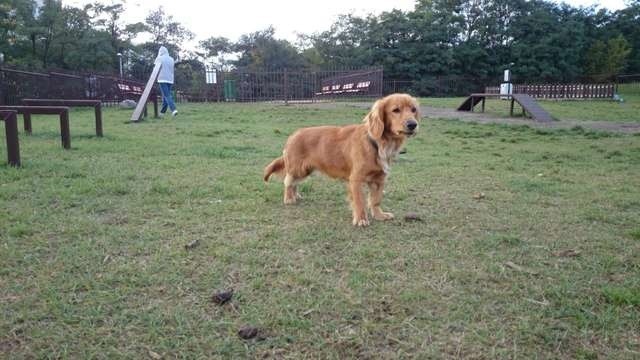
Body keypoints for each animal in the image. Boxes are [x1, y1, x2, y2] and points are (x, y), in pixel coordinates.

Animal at [264, 94, 420, 226]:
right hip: (298, 168)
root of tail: (293, 135)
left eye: (413, 110)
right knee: (288, 181)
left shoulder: (379, 179)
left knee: (294, 182)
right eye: (396, 110)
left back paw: (296, 196)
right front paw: (361, 219)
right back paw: (289, 198)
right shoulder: (356, 179)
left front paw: (379, 215)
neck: (378, 143)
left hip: (305, 170)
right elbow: (359, 201)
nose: (413, 124)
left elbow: (375, 200)